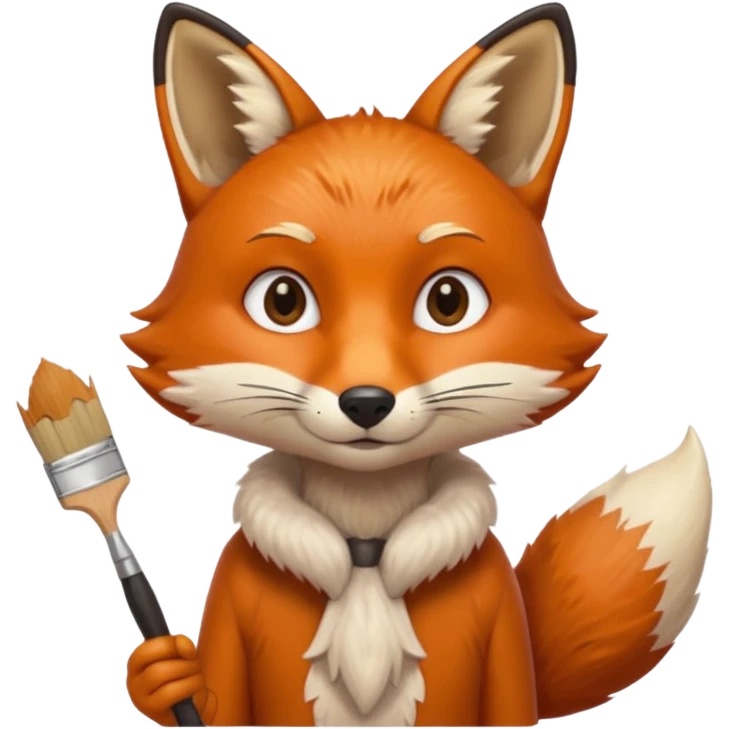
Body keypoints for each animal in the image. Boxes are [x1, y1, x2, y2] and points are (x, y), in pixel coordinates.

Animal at [124, 2, 714, 727]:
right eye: (283, 300)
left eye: (448, 300)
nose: (366, 402)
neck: (365, 548)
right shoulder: (233, 602)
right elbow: (211, 696)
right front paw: (161, 673)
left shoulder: (499, 620)